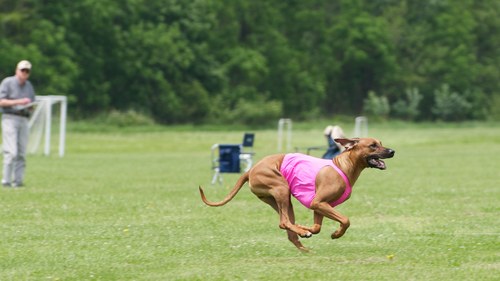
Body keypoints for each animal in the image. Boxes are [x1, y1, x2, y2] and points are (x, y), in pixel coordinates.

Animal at [199, 137, 394, 250]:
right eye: (372, 145)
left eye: (381, 143)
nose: (392, 151)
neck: (344, 166)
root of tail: (250, 170)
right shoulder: (319, 203)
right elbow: (345, 220)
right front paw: (336, 234)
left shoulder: (320, 206)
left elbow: (317, 227)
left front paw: (307, 228)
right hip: (281, 188)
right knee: (284, 222)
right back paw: (302, 235)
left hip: (279, 199)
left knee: (286, 227)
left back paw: (304, 242)